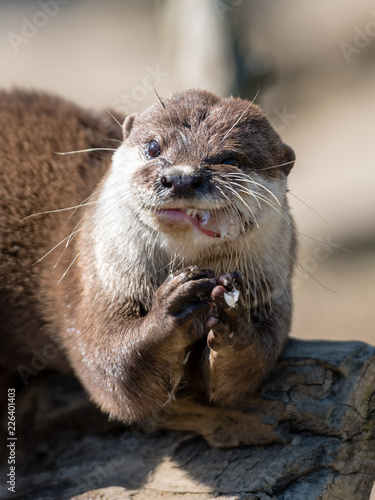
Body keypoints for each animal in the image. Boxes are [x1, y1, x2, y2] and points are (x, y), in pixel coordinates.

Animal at [1, 88, 298, 420]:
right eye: (154, 147)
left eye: (230, 159)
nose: (180, 178)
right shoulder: (95, 281)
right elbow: (111, 364)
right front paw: (173, 304)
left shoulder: (274, 290)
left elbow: (247, 370)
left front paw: (236, 321)